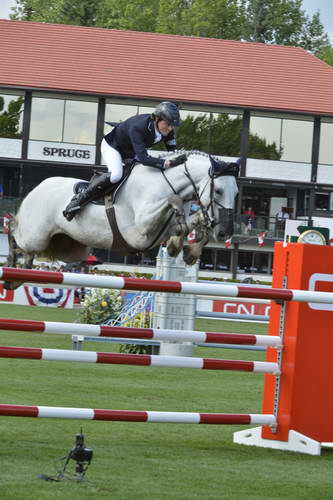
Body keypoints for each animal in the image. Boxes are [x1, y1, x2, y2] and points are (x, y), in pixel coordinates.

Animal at [5, 150, 239, 288]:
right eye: (218, 190)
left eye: (237, 193)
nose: (224, 233)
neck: (165, 183)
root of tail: (37, 188)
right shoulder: (138, 233)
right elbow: (173, 204)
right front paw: (181, 244)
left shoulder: (160, 230)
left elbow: (191, 223)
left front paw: (187, 250)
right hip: (36, 236)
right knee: (14, 234)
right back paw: (10, 270)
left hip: (70, 248)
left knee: (31, 253)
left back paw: (17, 277)